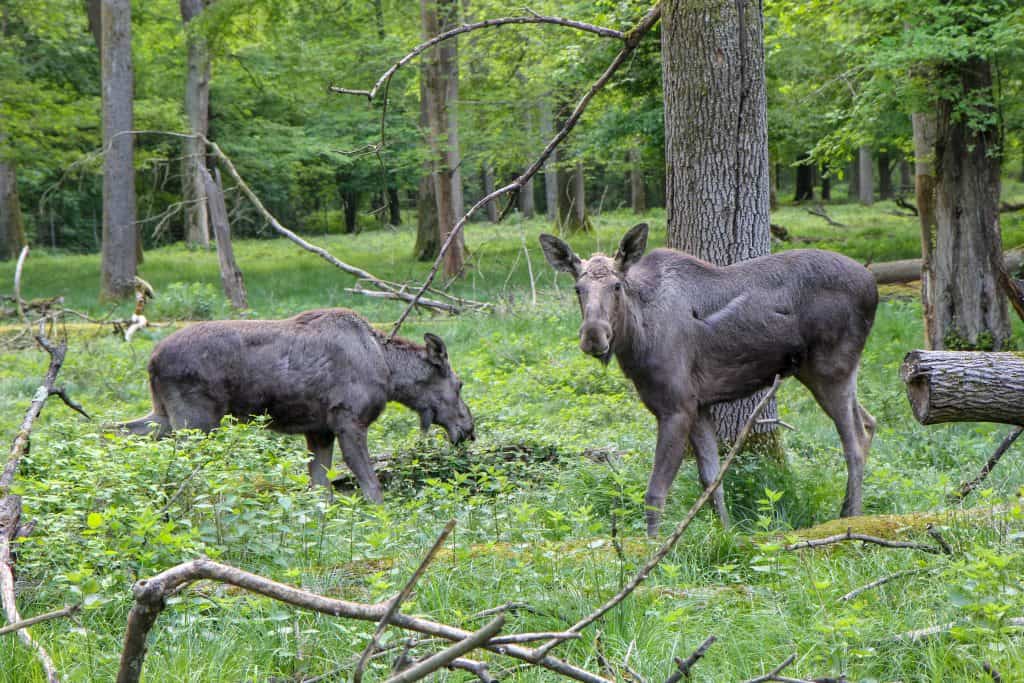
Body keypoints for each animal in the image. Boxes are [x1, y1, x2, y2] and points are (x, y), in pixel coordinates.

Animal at [540, 224, 877, 536]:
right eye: (578, 288)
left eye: (616, 286)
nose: (593, 336)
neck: (637, 339)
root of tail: (873, 286)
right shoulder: (699, 404)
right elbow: (711, 478)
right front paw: (725, 533)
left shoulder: (676, 406)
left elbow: (655, 492)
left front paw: (653, 548)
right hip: (823, 372)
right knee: (870, 422)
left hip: (831, 369)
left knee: (855, 442)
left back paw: (851, 518)